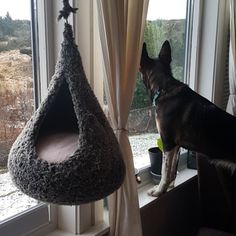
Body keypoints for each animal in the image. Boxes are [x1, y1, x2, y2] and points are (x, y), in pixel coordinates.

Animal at [139, 40, 236, 197]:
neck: (164, 87)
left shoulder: (168, 143)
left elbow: (165, 171)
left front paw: (160, 190)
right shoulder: (176, 146)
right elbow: (172, 171)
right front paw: (169, 187)